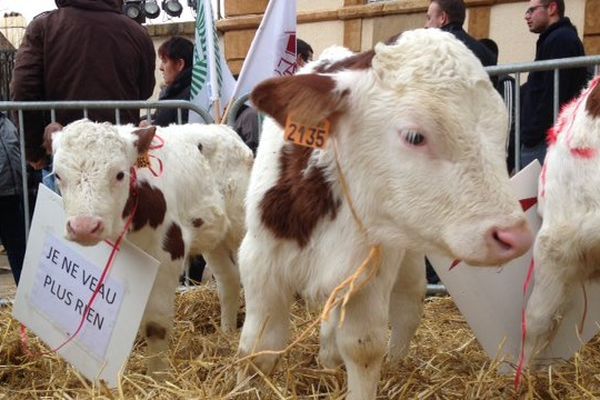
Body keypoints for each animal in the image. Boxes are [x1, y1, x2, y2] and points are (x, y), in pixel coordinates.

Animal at [46, 120, 253, 374]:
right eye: (58, 175)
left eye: (120, 174)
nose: (84, 226)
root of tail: (224, 129)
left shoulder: (169, 251)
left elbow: (156, 325)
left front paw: (157, 376)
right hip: (214, 237)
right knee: (228, 280)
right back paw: (226, 334)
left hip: (242, 228)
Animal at [237, 28, 532, 400]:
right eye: (414, 136)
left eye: (501, 130)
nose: (515, 235)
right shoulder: (260, 261)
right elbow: (258, 348)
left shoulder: (372, 271)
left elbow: (364, 346)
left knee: (407, 305)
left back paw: (391, 361)